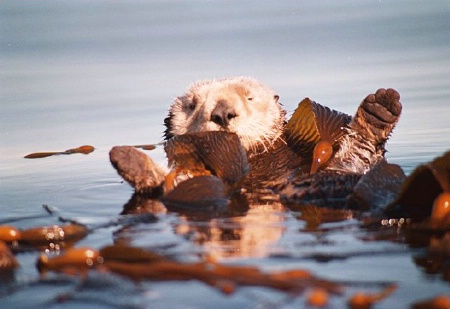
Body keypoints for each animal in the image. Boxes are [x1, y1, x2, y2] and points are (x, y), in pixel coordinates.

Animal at [110, 76, 404, 209]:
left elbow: (353, 158)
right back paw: (128, 158)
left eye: (249, 98)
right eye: (193, 105)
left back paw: (379, 110)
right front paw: (132, 161)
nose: (222, 113)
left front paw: (376, 114)